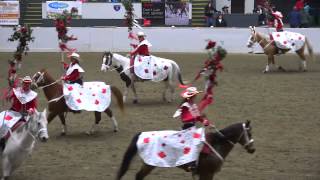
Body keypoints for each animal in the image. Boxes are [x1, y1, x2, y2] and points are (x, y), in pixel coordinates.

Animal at [116, 121, 256, 180]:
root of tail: (142, 134)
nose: (253, 149)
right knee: (139, 176)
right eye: (249, 132)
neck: (216, 144)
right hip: (149, 164)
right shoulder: (207, 174)